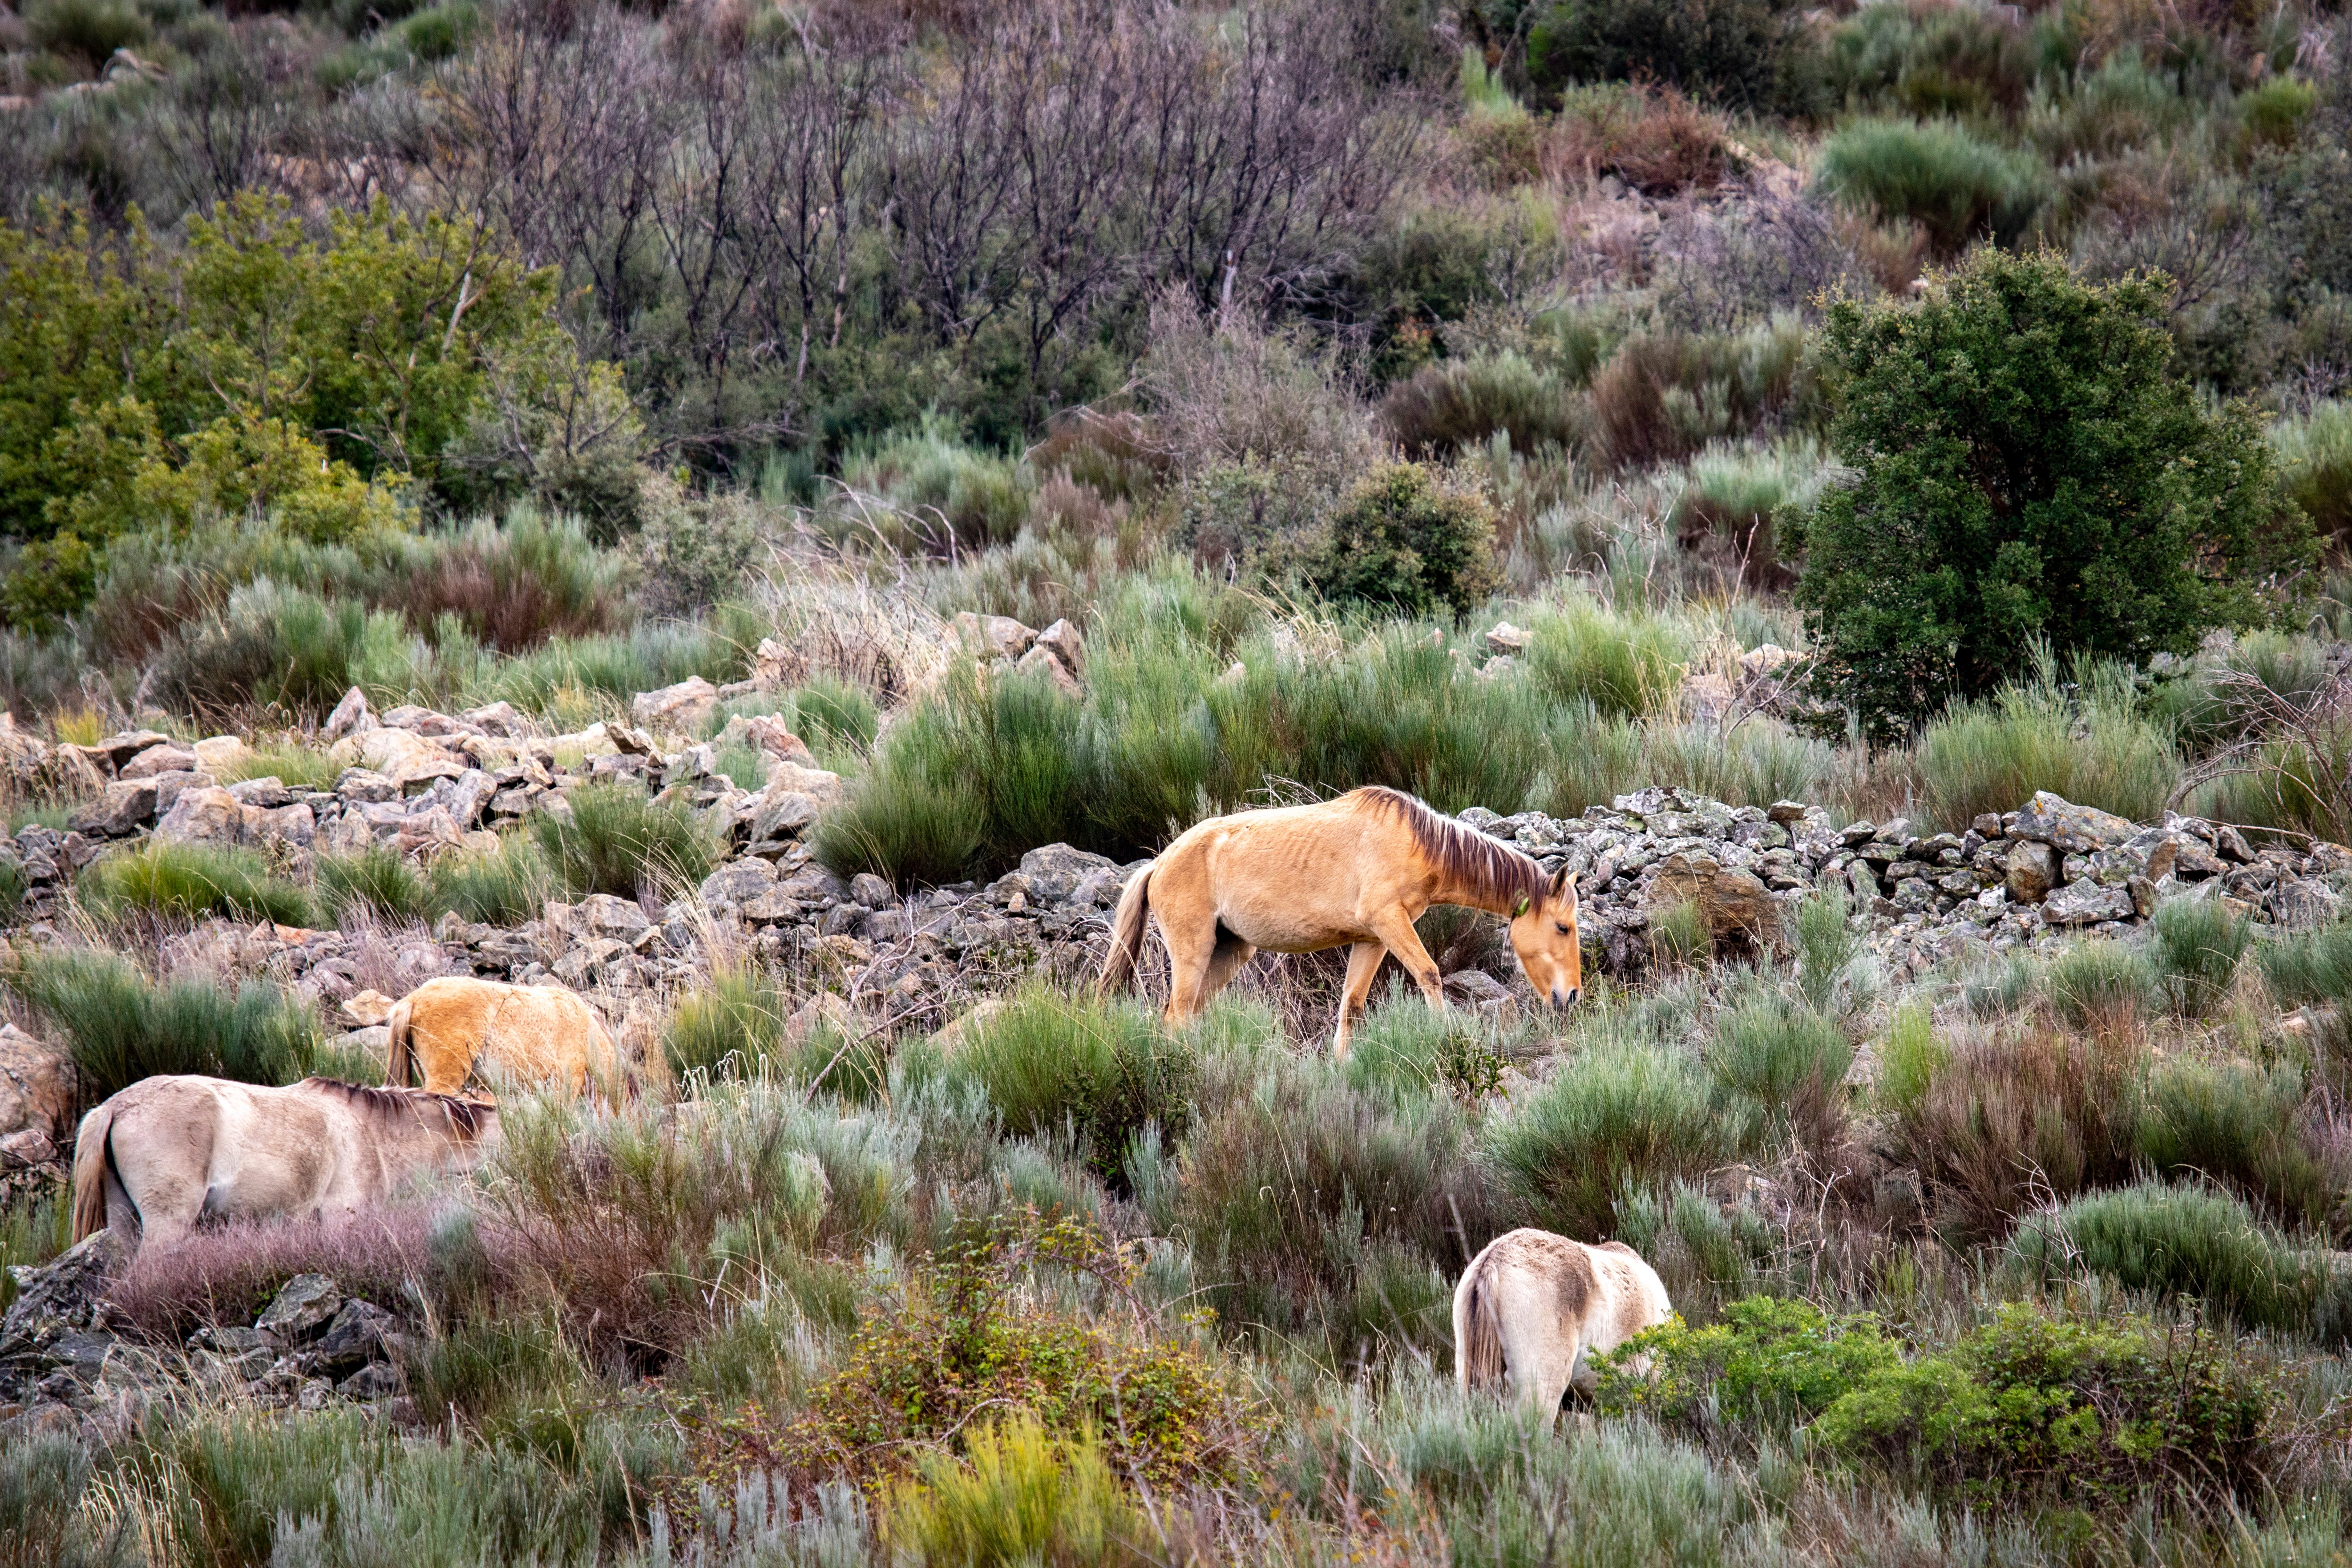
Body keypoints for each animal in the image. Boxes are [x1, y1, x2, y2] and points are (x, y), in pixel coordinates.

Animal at [1097, 785, 1582, 1057]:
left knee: (1184, 1015)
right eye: (1563, 927)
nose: (1572, 995)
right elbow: (1429, 974)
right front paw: (1446, 1038)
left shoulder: (1373, 939)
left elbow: (1351, 1004)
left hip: (1228, 952)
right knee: (1177, 1016)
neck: (1417, 841)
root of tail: (1159, 863)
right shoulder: (1390, 922)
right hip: (1193, 953)